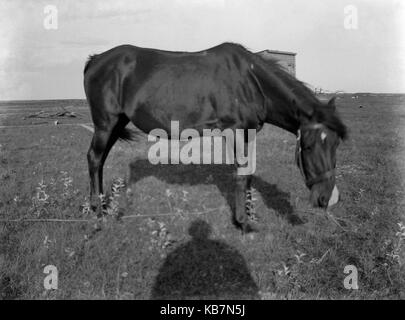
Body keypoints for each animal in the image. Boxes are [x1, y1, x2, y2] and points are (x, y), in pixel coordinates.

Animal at [83, 42, 348, 232]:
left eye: (336, 144)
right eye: (309, 146)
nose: (327, 198)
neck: (250, 80)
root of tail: (95, 60)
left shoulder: (248, 133)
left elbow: (248, 173)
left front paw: (249, 215)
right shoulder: (235, 131)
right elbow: (242, 175)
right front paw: (243, 223)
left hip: (116, 123)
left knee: (100, 160)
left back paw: (101, 204)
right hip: (105, 123)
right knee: (94, 158)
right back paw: (98, 210)